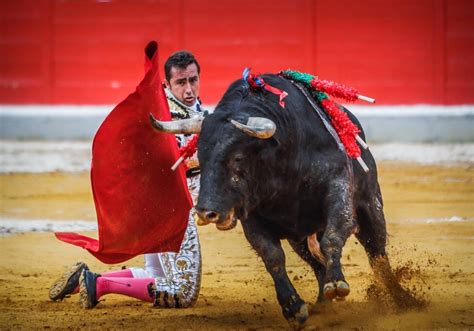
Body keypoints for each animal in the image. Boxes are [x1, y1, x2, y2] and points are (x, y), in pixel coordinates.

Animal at [150, 74, 416, 326]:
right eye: (200, 156)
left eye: (237, 158)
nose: (207, 212)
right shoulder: (253, 217)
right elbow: (273, 257)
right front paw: (294, 308)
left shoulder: (338, 187)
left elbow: (333, 238)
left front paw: (337, 284)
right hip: (300, 235)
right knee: (316, 262)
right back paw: (323, 303)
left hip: (370, 205)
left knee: (377, 252)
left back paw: (402, 300)